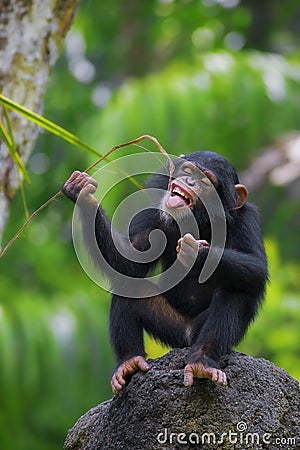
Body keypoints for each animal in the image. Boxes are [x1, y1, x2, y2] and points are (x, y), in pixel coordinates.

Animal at [62, 149, 268, 392]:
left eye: (205, 180)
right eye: (188, 170)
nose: (190, 181)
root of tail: (188, 338)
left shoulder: (247, 219)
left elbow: (257, 267)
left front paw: (196, 252)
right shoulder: (152, 211)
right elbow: (130, 261)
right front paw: (83, 194)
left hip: (195, 333)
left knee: (235, 289)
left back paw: (202, 361)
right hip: (173, 331)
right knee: (128, 283)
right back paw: (129, 361)